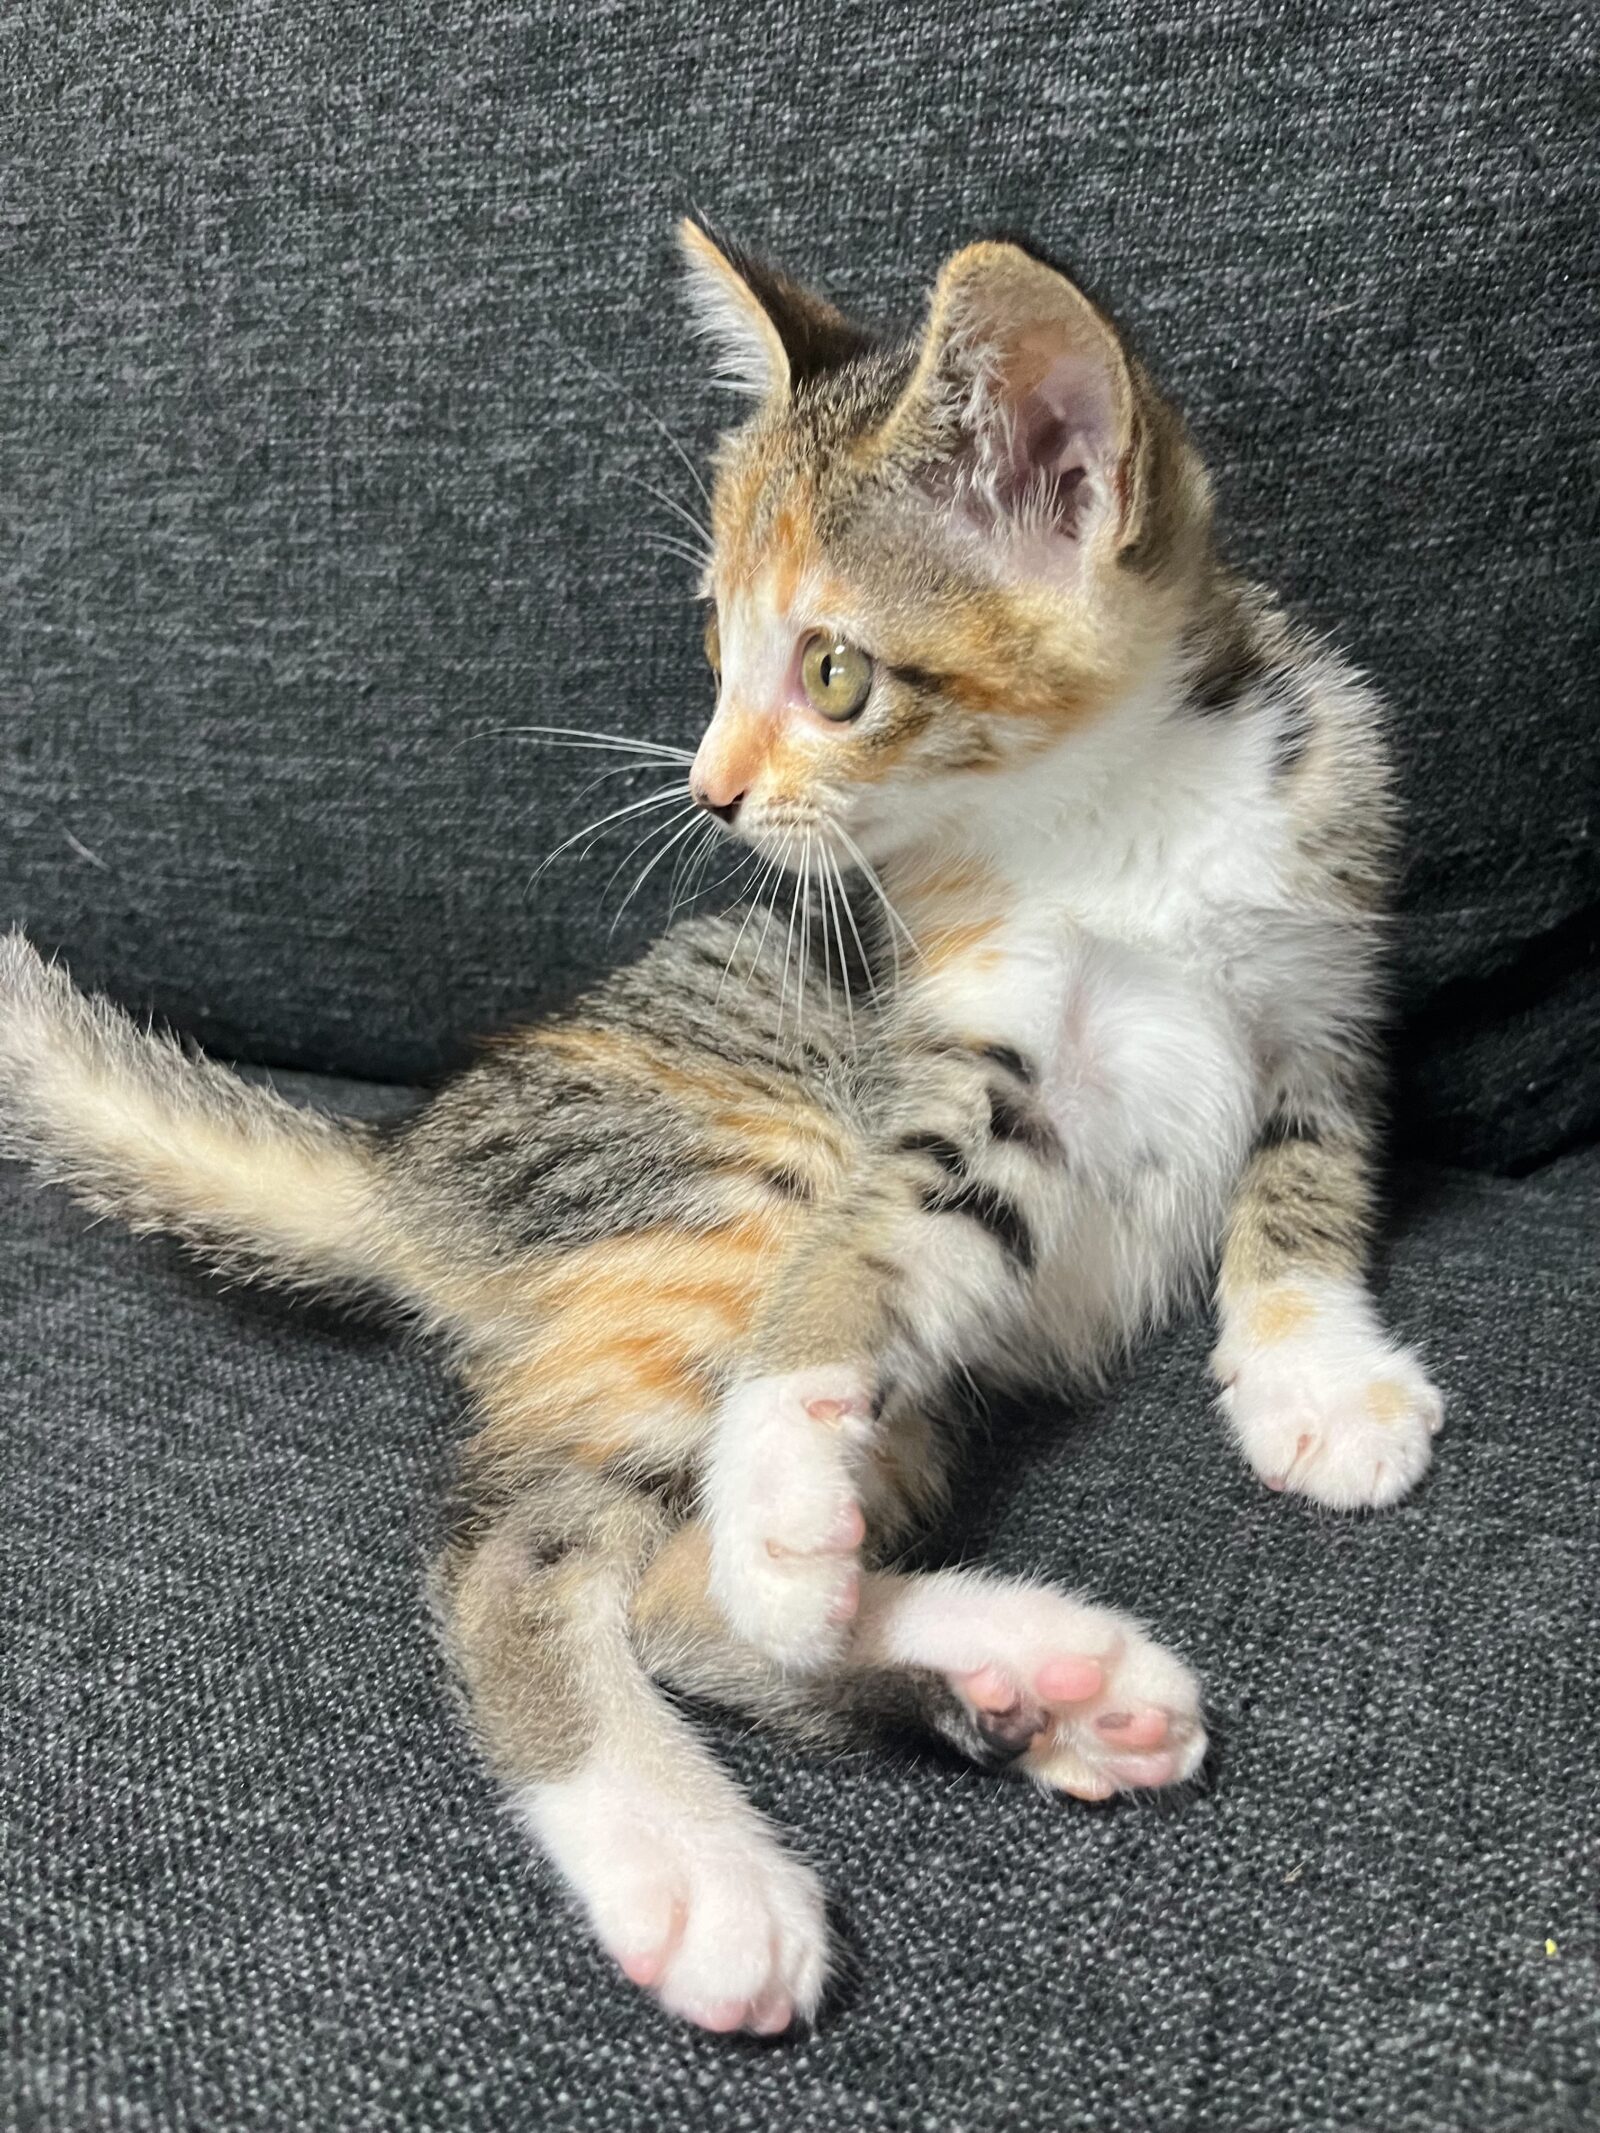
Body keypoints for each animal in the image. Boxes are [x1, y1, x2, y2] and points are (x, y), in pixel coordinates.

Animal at [0, 221, 1444, 2037]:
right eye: (716, 647)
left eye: (833, 671)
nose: (710, 790)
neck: (1109, 824)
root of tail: (409, 1163)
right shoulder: (951, 1057)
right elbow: (868, 1251)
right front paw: (774, 1486)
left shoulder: (1327, 960)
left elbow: (1308, 1175)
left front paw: (1319, 1378)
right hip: (725, 1171)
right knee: (529, 1551)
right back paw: (697, 1861)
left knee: (677, 1594)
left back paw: (1029, 1677)